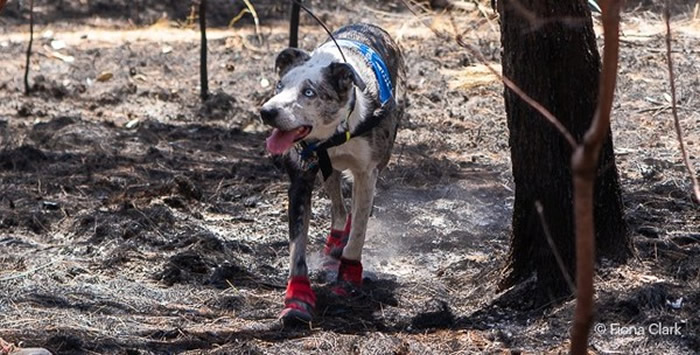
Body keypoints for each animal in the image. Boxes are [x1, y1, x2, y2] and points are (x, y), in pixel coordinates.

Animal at [258, 23, 404, 326]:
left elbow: (359, 229)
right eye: (280, 86)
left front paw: (348, 274)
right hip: (328, 173)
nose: (267, 111)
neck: (334, 134)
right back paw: (334, 244)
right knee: (339, 207)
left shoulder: (367, 173)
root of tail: (368, 25)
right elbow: (297, 245)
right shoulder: (301, 177)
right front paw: (298, 299)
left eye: (309, 92)